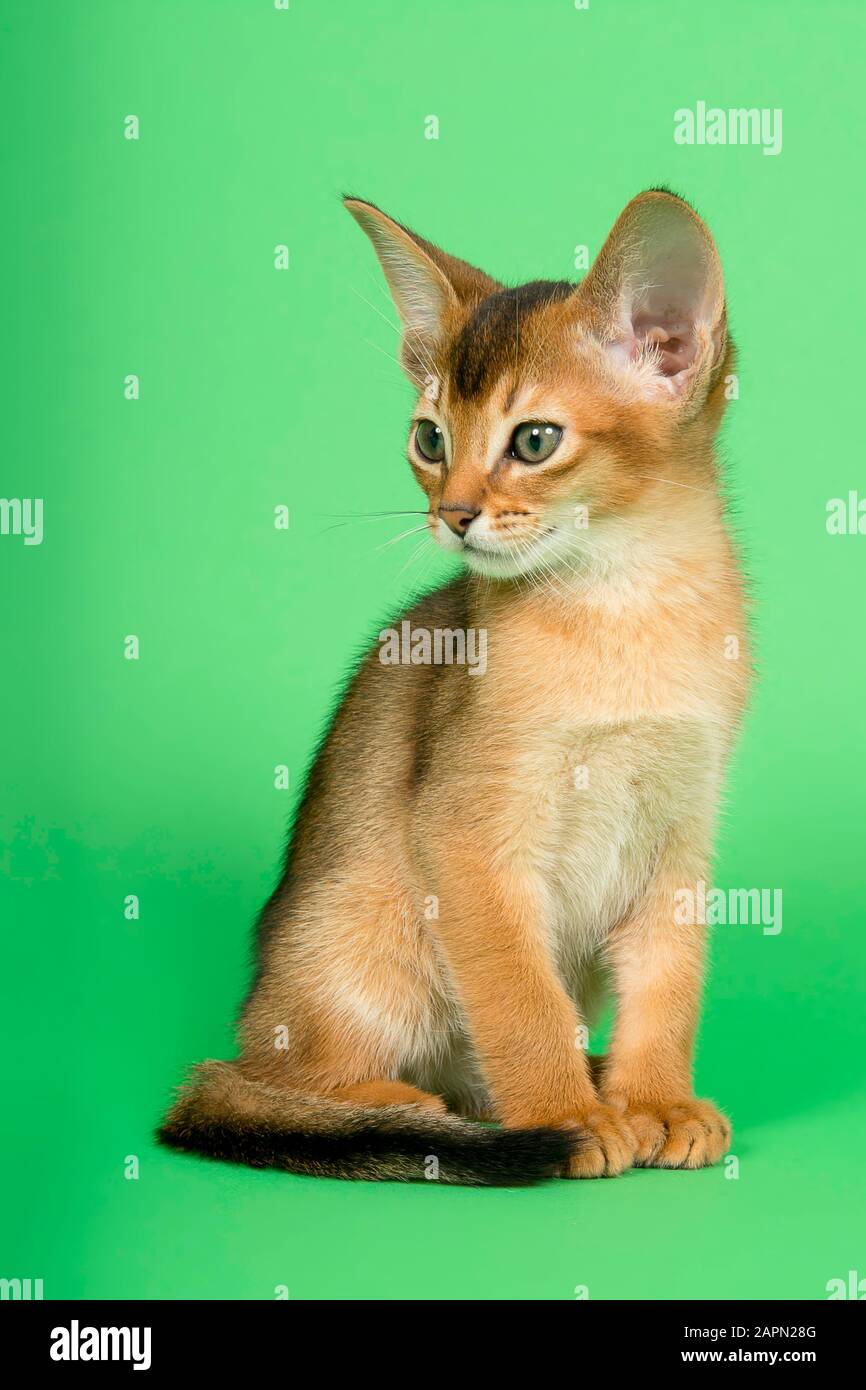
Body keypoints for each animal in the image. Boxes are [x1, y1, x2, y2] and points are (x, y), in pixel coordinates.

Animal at [159, 184, 750, 1184]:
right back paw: (406, 1106)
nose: (454, 514)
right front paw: (568, 1117)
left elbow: (670, 983)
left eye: (536, 439)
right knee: (266, 1079)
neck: (628, 601)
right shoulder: (468, 837)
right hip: (367, 928)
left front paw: (657, 1101)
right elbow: (519, 1001)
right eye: (429, 438)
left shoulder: (682, 832)